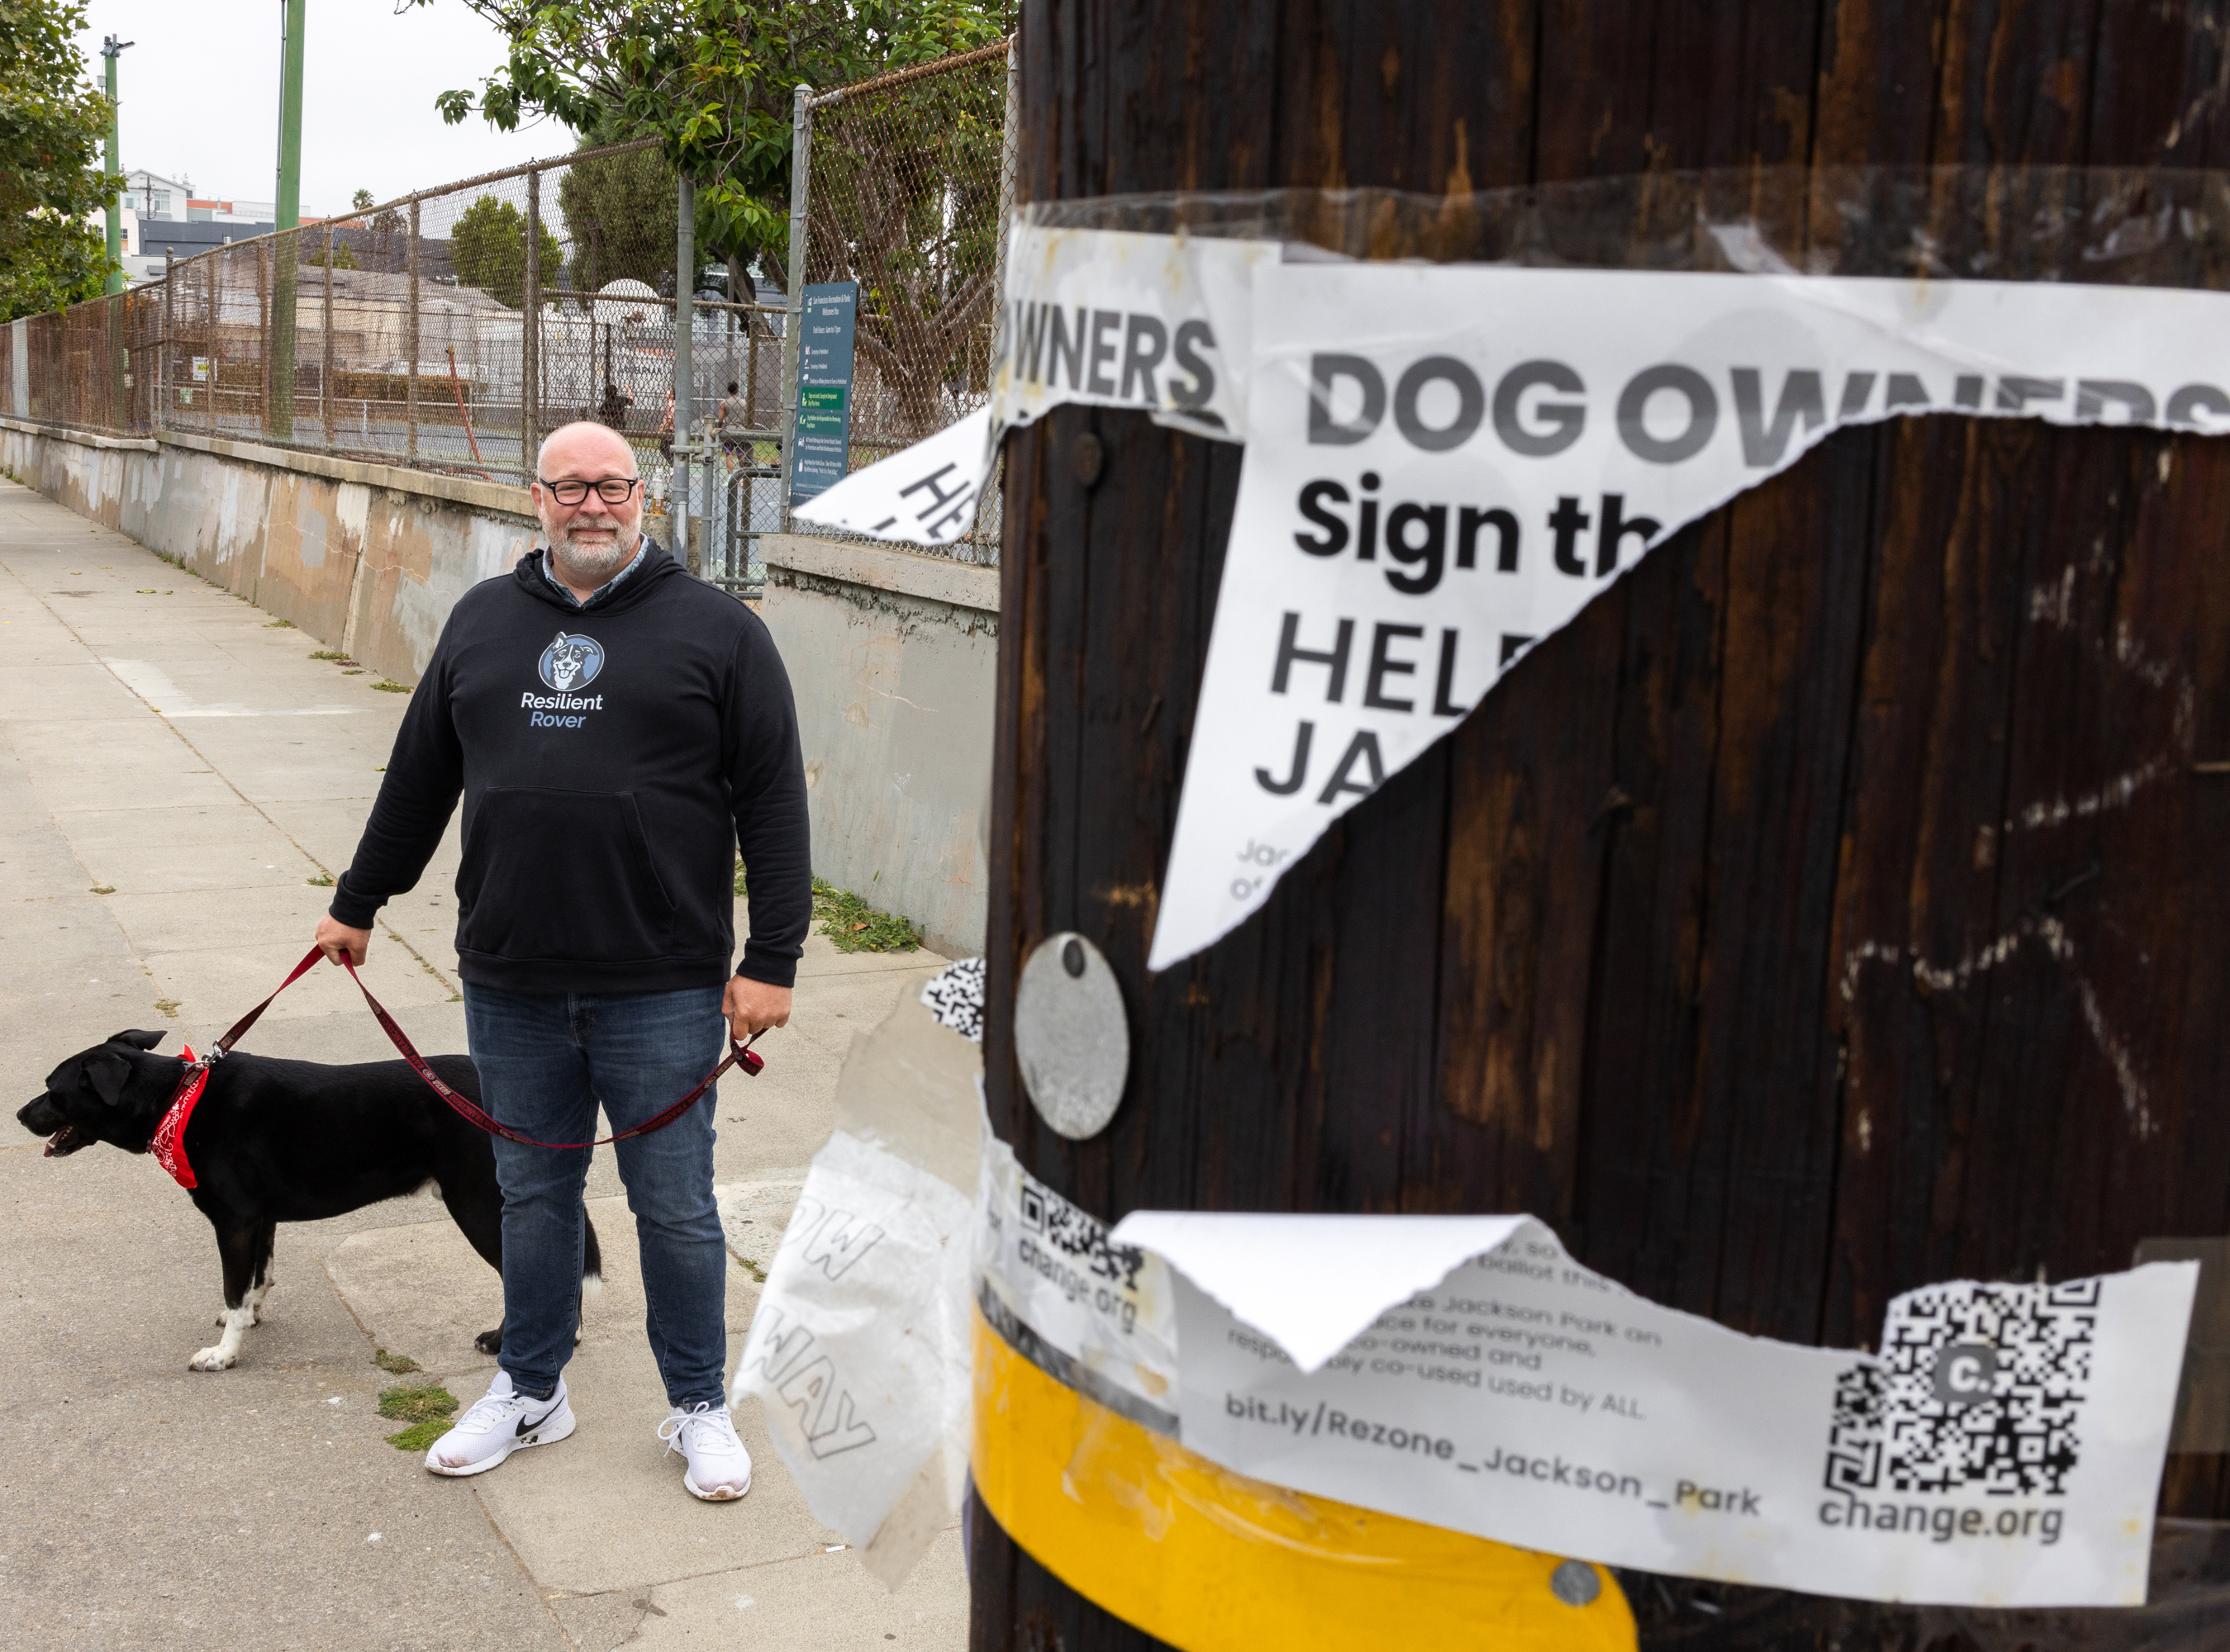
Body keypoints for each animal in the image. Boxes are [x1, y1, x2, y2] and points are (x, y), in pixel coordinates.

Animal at [15, 1029, 601, 1364]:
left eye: (52, 1089)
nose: (20, 1114)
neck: (177, 1101)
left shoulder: (233, 1221)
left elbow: (233, 1286)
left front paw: (224, 1354)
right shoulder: (260, 1220)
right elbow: (257, 1279)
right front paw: (248, 1319)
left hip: (479, 1205)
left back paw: (518, 1342)